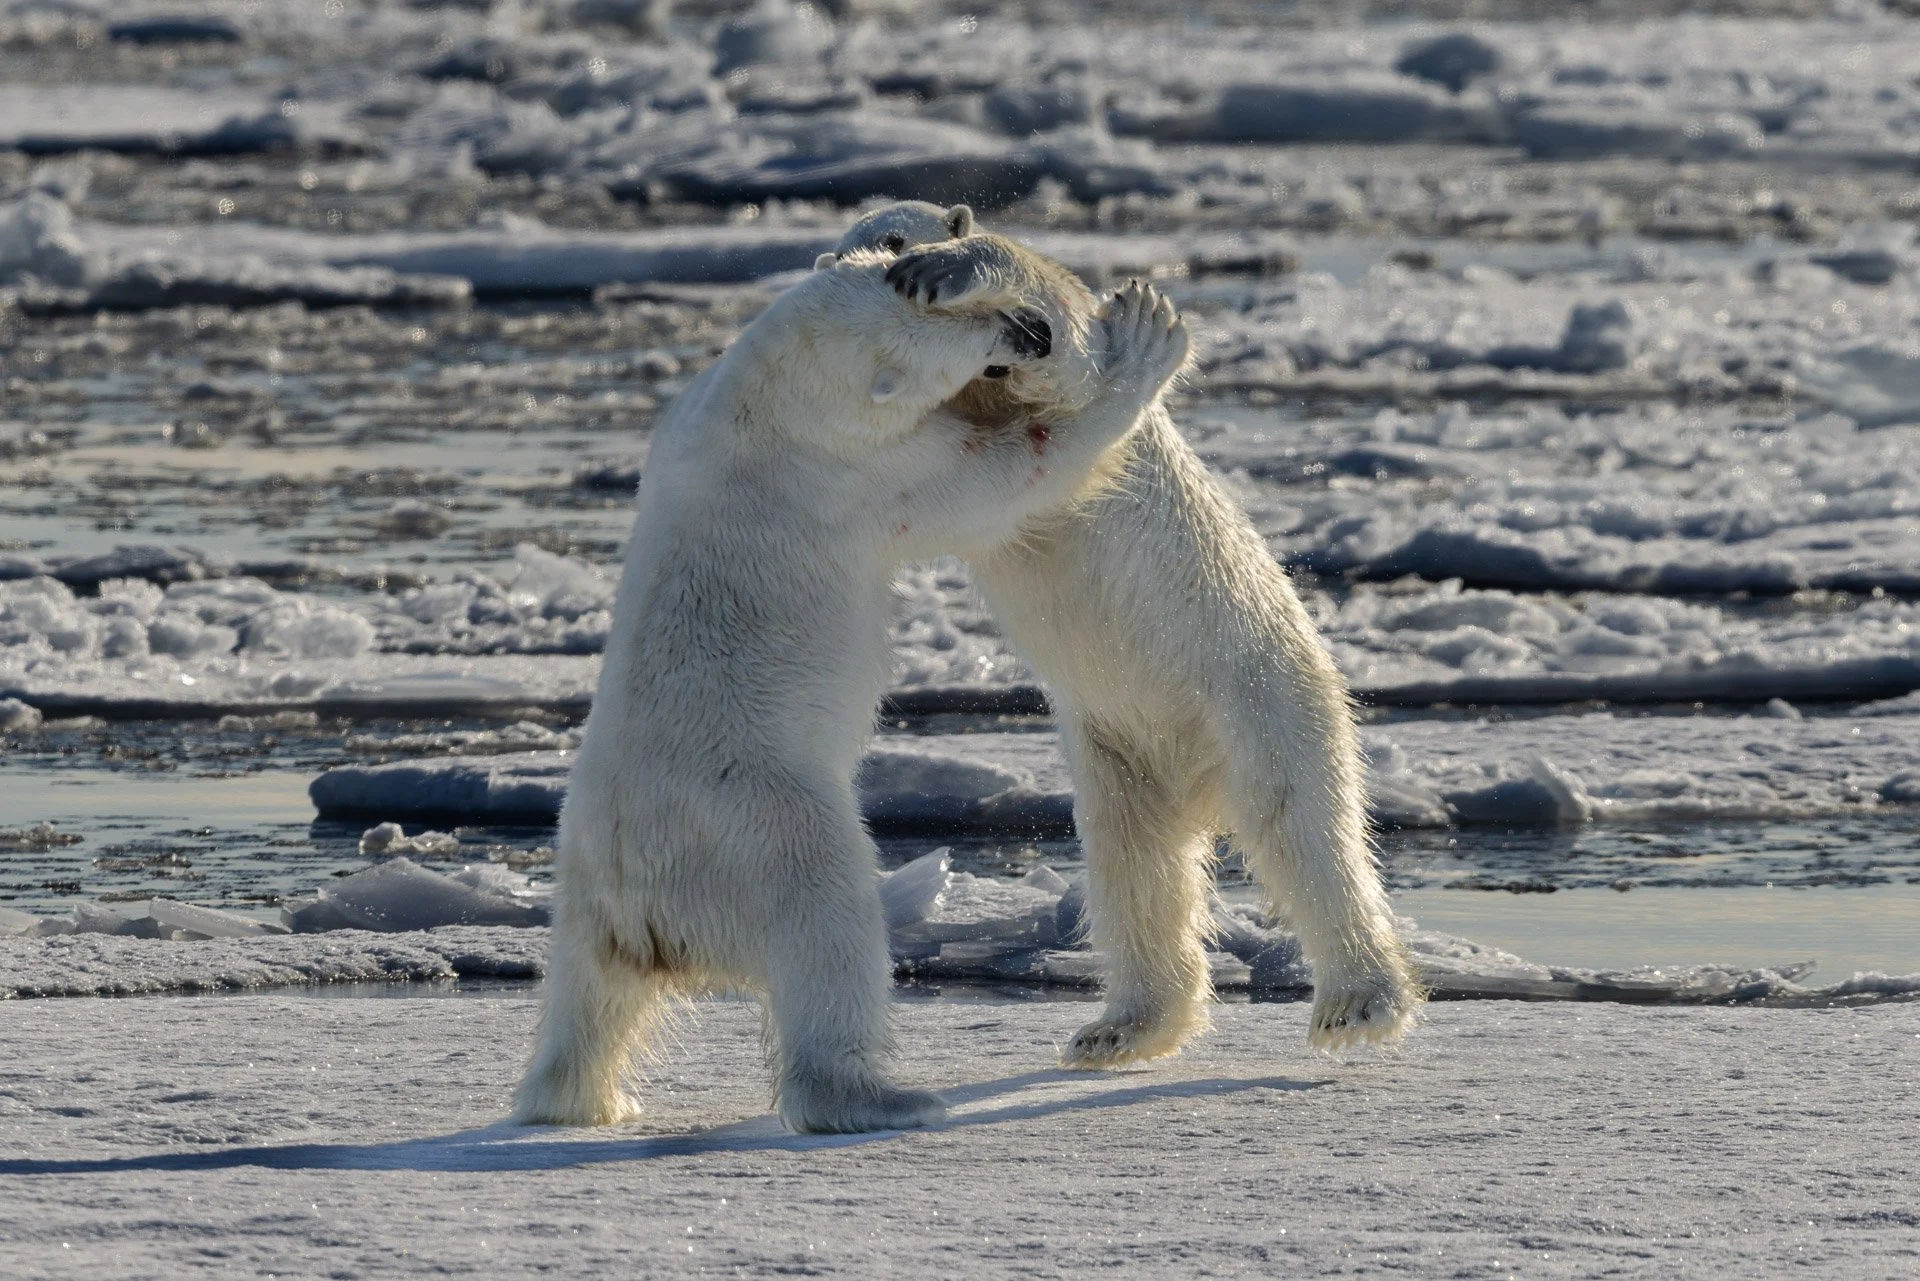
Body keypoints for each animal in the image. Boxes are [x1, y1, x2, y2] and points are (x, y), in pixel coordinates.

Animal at [514, 250, 1191, 1134]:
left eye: (926, 292)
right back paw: (885, 1095)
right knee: (828, 920)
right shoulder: (853, 475)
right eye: (957, 336)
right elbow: (1006, 477)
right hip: (751, 825)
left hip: (581, 894)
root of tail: (638, 896)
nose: (1029, 330)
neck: (760, 399)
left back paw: (584, 1096)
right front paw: (1147, 343)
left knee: (585, 1000)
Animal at [837, 204, 1423, 1066]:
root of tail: (1200, 784)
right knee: (1135, 869)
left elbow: (1071, 355)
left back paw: (1358, 1003)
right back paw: (1121, 1027)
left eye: (898, 236)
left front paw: (956, 274)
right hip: (1119, 751)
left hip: (1257, 693)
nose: (884, 265)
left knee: (1301, 828)